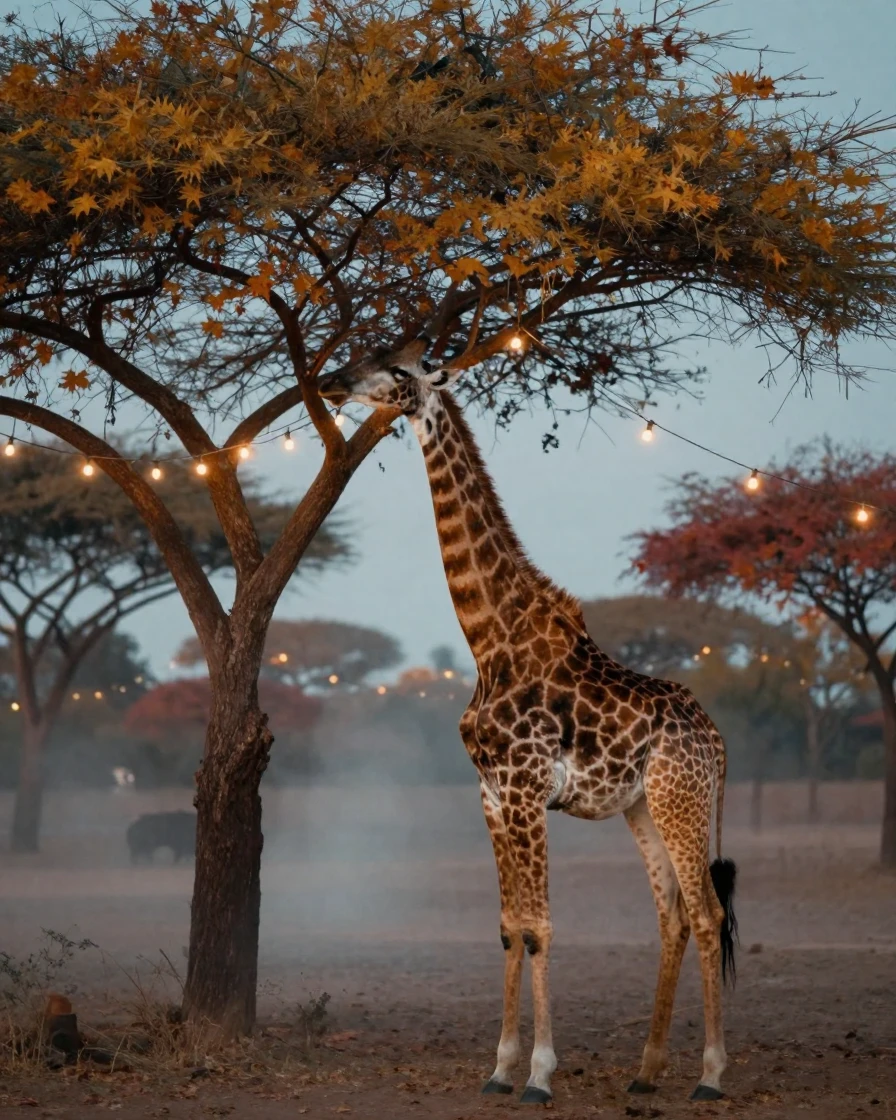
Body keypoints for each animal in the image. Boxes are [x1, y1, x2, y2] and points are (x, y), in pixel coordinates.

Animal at [318, 340, 739, 1105]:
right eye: (371, 350)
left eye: (397, 371)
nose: (333, 380)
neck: (489, 638)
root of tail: (718, 742)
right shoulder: (489, 794)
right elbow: (510, 927)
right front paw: (499, 1069)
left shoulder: (525, 788)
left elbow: (541, 927)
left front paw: (541, 1075)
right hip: (640, 806)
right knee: (671, 916)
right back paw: (645, 1071)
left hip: (681, 800)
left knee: (707, 913)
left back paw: (710, 1076)